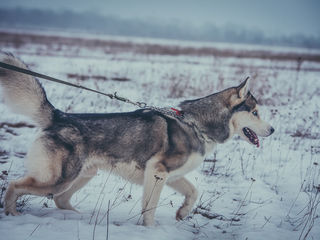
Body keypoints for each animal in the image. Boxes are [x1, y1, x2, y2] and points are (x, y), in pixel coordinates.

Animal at [1, 52, 274, 225]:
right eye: (255, 113)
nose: (272, 130)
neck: (196, 124)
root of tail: (59, 115)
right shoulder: (157, 172)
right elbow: (149, 208)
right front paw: (150, 230)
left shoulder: (172, 175)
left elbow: (193, 192)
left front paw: (182, 213)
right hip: (58, 179)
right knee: (15, 185)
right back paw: (12, 214)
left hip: (84, 175)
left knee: (59, 200)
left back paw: (77, 217)